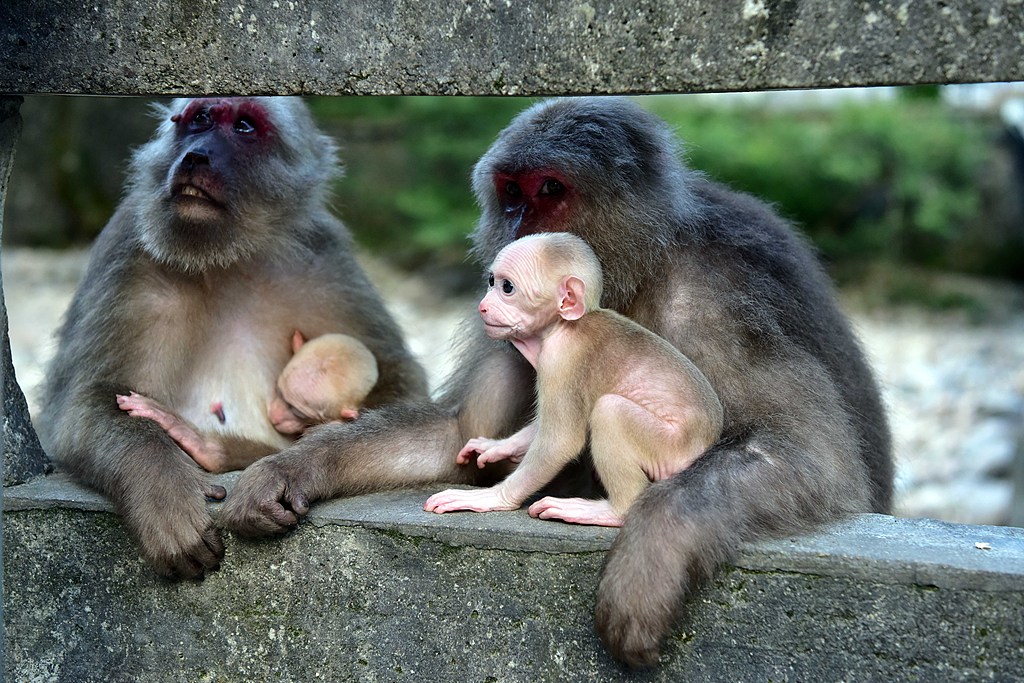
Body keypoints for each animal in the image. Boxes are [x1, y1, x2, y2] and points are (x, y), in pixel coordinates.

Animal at [37, 96, 425, 581]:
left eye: (243, 125)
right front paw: (161, 490)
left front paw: (276, 467)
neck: (226, 259)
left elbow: (400, 385)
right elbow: (84, 404)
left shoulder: (325, 257)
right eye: (199, 118)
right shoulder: (128, 251)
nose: (196, 155)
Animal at [423, 232, 729, 528]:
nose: (483, 306)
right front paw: (500, 446)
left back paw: (612, 512)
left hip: (670, 448)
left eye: (507, 287)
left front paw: (493, 497)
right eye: (491, 281)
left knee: (610, 412)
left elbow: (561, 440)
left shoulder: (560, 359)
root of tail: (701, 451)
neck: (561, 326)